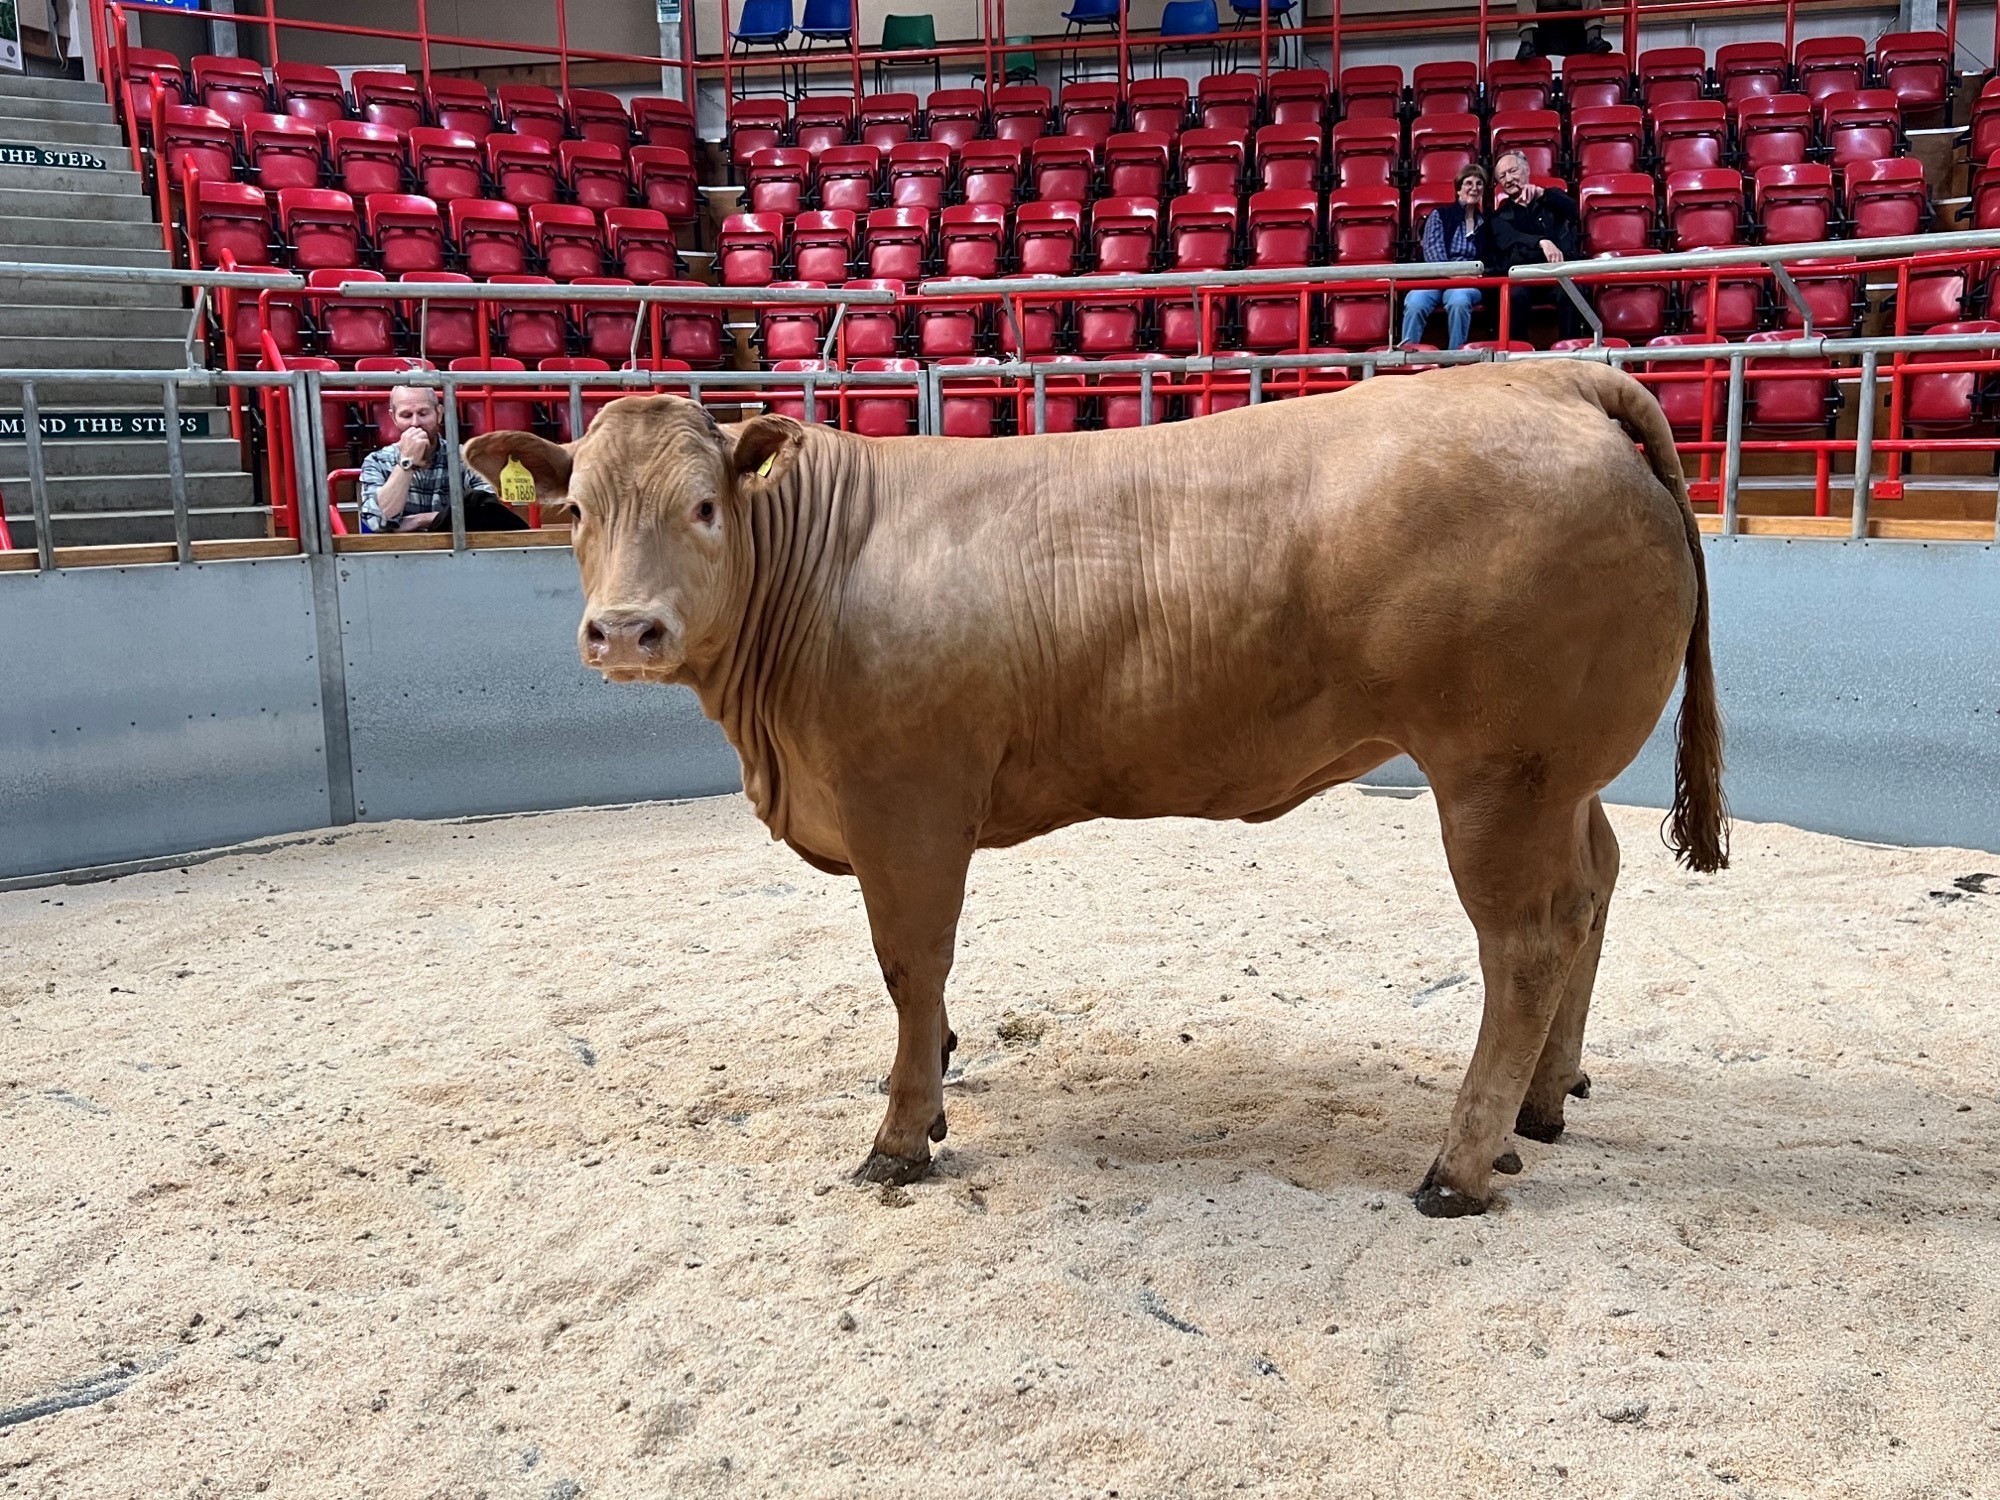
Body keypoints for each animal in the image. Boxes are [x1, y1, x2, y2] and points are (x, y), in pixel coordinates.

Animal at [464, 364, 1720, 1224]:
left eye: (705, 508)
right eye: (575, 511)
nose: (626, 630)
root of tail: (1552, 377)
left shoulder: (905, 804)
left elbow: (910, 966)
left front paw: (901, 1134)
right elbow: (919, 986)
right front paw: (929, 1083)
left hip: (1495, 775)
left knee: (1525, 940)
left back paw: (1457, 1166)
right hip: (1556, 774)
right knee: (1594, 890)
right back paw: (1538, 1112)